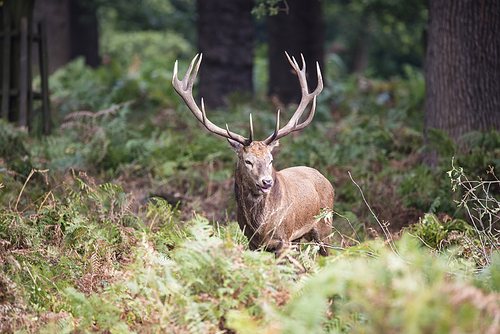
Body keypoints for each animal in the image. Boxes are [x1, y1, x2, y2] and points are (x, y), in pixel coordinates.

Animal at [173, 52, 336, 256]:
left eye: (271, 160)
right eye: (247, 161)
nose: (267, 182)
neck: (261, 228)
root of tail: (326, 179)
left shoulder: (284, 238)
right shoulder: (251, 242)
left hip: (325, 226)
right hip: (299, 239)